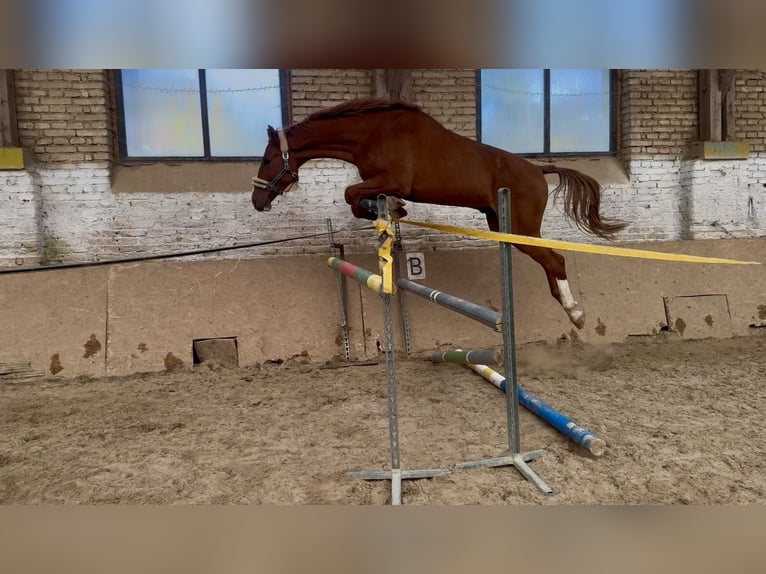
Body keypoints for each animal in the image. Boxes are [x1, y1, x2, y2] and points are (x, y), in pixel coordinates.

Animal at [251, 98, 626, 329]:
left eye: (268, 159)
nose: (257, 201)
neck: (373, 132)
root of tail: (539, 169)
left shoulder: (393, 179)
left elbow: (351, 195)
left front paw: (389, 209)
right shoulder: (381, 182)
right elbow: (360, 198)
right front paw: (392, 209)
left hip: (522, 228)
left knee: (556, 260)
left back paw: (576, 313)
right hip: (504, 225)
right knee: (549, 261)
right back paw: (568, 308)